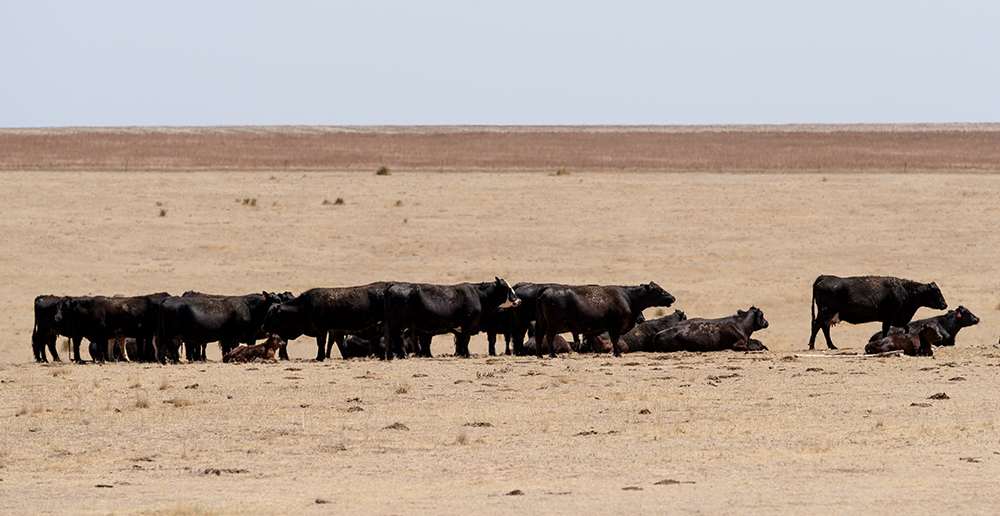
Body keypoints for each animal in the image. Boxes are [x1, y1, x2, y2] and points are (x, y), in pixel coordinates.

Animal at [261, 283, 390, 361]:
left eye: (270, 314)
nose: (263, 326)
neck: (305, 305)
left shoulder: (322, 329)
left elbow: (321, 343)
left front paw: (320, 357)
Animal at [383, 277, 521, 359]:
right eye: (507, 288)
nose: (519, 301)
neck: (478, 295)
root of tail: (394, 284)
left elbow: (461, 341)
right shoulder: (467, 324)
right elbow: (466, 339)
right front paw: (468, 355)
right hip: (396, 323)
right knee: (392, 337)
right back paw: (393, 356)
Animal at [535, 282, 675, 358]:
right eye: (659, 290)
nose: (673, 297)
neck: (627, 298)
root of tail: (548, 288)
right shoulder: (616, 326)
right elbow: (615, 340)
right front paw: (617, 354)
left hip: (542, 322)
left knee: (539, 336)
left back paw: (539, 355)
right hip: (553, 323)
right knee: (549, 336)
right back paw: (552, 354)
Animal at [809, 275, 947, 350]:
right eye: (937, 292)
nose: (945, 305)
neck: (904, 291)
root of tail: (825, 277)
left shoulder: (900, 318)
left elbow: (907, 327)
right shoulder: (889, 317)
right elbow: (885, 330)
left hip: (829, 314)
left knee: (824, 328)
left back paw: (832, 346)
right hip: (825, 311)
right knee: (816, 326)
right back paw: (812, 346)